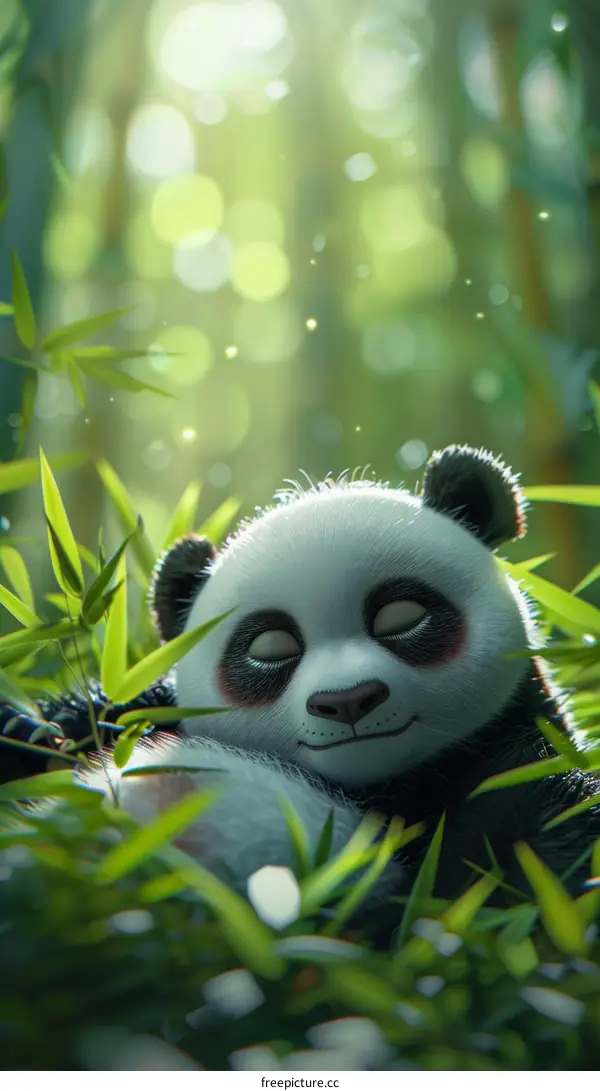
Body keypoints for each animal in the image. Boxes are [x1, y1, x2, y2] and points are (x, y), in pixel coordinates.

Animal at [2, 444, 600, 920]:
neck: (385, 786)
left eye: (401, 617)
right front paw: (35, 730)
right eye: (271, 648)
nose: (348, 701)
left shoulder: (519, 758)